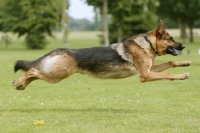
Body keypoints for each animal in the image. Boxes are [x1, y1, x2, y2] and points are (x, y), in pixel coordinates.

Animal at [12, 20, 192, 90]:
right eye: (170, 39)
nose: (184, 46)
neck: (147, 44)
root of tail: (61, 50)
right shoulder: (145, 74)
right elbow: (168, 74)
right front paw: (182, 76)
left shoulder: (149, 69)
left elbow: (170, 63)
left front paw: (185, 63)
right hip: (57, 74)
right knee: (32, 70)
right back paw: (18, 81)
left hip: (54, 74)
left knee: (34, 73)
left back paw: (21, 85)